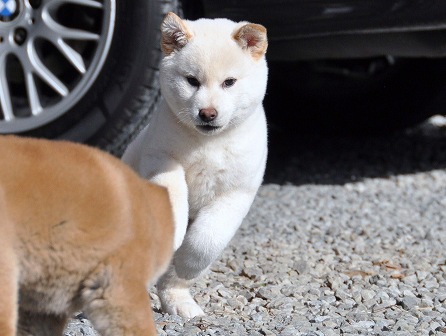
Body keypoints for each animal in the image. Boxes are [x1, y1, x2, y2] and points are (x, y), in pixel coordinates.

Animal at [122, 12, 268, 318]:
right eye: (192, 81)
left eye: (229, 82)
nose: (207, 113)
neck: (208, 143)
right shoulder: (161, 158)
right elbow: (175, 195)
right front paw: (174, 230)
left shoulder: (236, 192)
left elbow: (206, 239)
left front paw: (188, 261)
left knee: (169, 280)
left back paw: (180, 303)